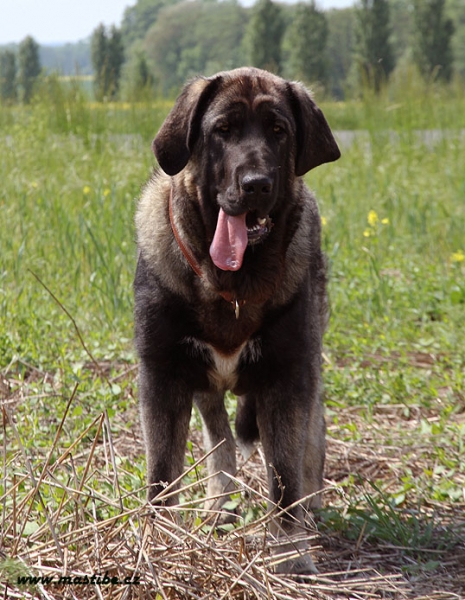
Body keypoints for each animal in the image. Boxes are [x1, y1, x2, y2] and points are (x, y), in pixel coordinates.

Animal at [132, 68, 338, 576]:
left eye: (278, 130)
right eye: (222, 130)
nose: (256, 184)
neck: (232, 286)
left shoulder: (288, 377)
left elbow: (284, 474)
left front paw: (289, 550)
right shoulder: (163, 376)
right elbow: (162, 475)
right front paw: (159, 543)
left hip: (310, 367)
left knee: (311, 439)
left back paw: (309, 507)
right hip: (203, 384)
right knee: (220, 441)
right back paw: (218, 505)